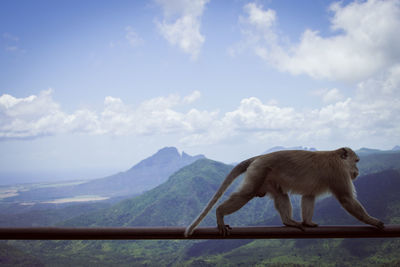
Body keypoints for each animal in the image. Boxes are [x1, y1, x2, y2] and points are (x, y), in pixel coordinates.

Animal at [184, 148, 384, 238]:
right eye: (356, 161)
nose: (357, 171)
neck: (336, 157)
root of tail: (259, 157)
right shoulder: (338, 173)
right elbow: (346, 199)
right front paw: (373, 221)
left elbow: (308, 196)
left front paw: (308, 222)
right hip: (258, 172)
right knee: (246, 194)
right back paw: (219, 213)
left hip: (267, 178)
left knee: (281, 195)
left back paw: (288, 221)